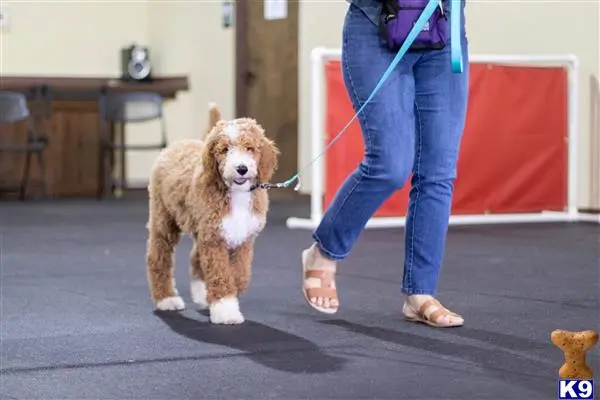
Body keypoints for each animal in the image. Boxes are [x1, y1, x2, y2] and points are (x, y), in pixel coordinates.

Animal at [145, 104, 278, 324]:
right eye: (224, 150)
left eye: (249, 148)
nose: (242, 168)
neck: (235, 192)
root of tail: (176, 144)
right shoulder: (214, 238)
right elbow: (220, 273)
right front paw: (226, 310)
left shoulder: (243, 238)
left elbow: (240, 275)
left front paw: (224, 296)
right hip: (164, 219)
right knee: (158, 256)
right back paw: (166, 299)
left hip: (201, 228)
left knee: (195, 257)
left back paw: (201, 295)